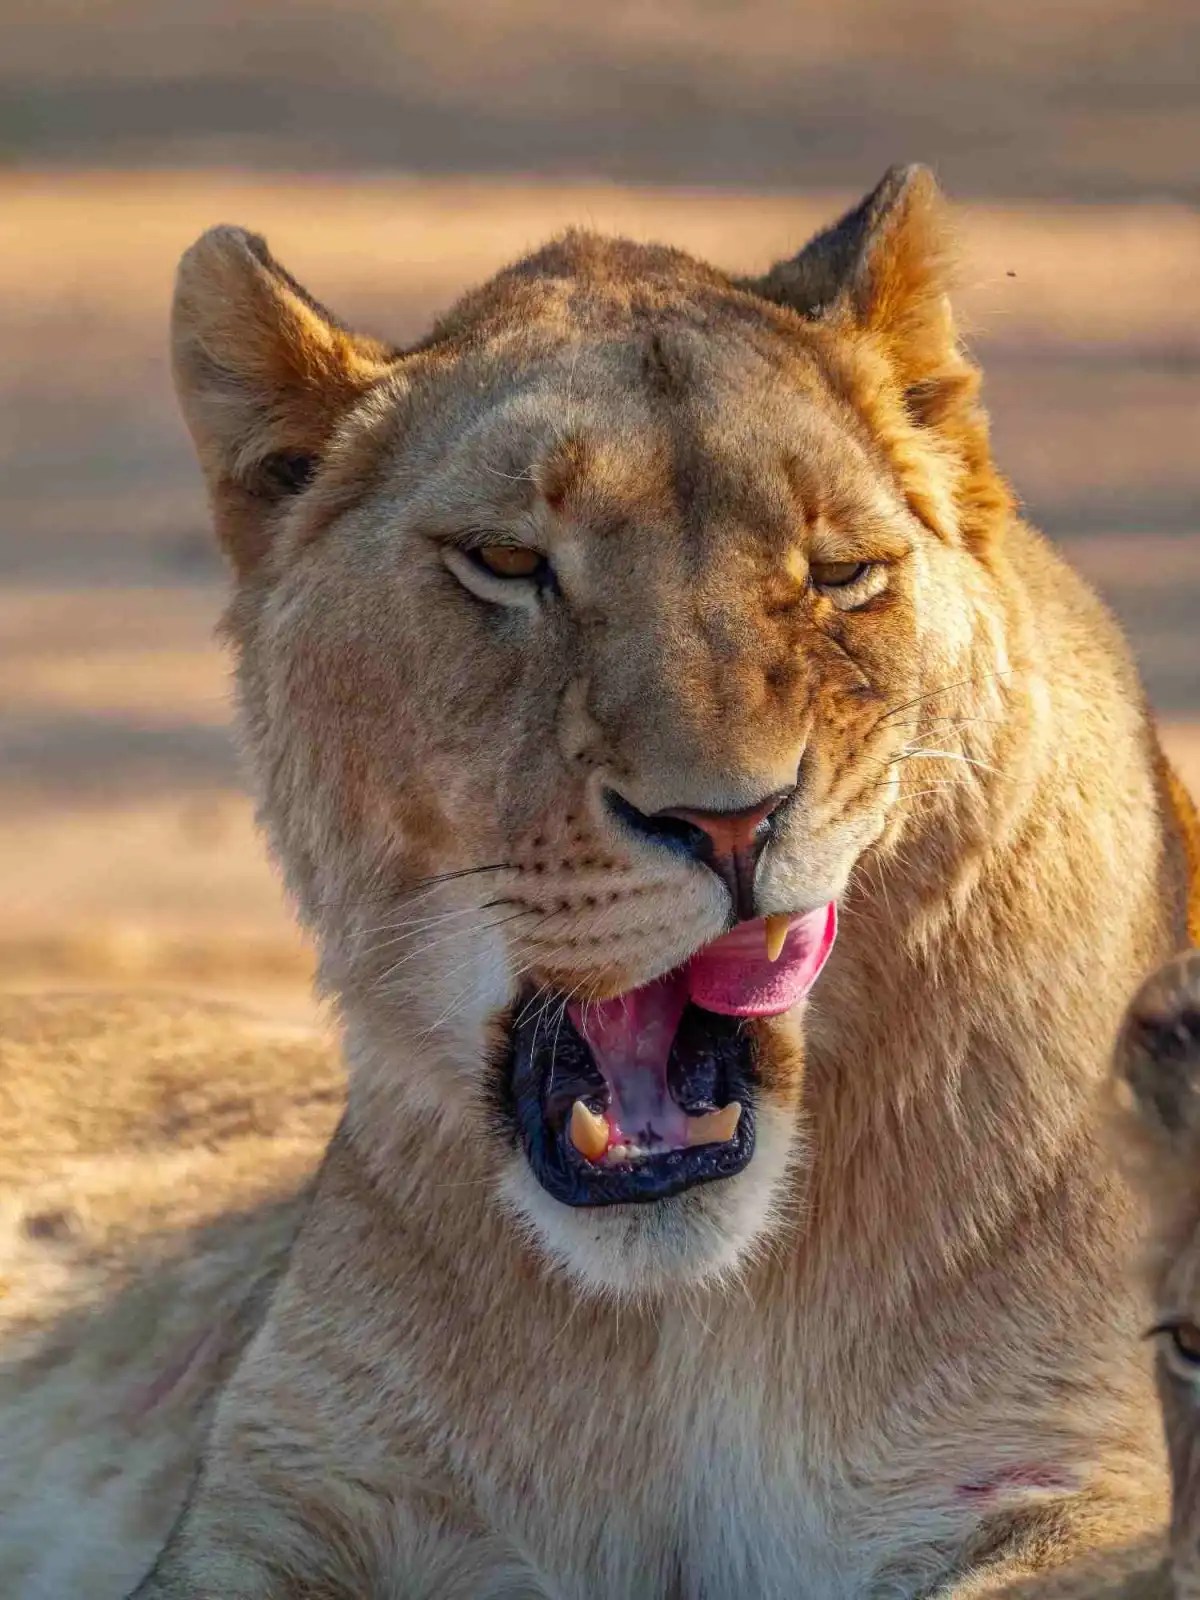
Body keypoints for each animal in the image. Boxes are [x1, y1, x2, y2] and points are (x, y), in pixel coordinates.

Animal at [1, 165, 1196, 1597]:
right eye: (508, 564)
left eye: (840, 574)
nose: (729, 822)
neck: (679, 1323)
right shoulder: (289, 1496)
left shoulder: (1074, 1481)